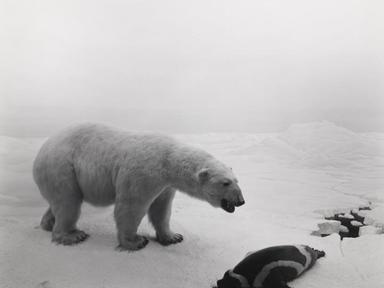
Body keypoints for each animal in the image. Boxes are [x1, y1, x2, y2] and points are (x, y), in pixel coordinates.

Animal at [32, 123, 243, 250]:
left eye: (237, 180)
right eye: (225, 183)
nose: (241, 201)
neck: (168, 159)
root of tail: (41, 151)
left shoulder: (165, 185)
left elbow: (161, 209)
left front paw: (173, 237)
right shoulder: (144, 172)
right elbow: (131, 206)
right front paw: (135, 241)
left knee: (60, 202)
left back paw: (48, 224)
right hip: (62, 167)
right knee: (69, 202)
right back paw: (72, 235)